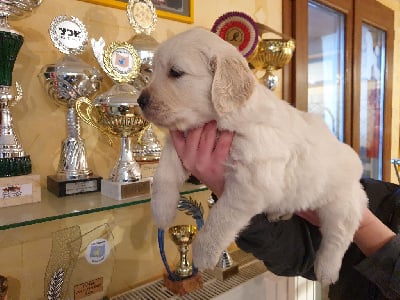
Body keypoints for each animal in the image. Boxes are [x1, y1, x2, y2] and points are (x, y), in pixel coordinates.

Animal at [138, 27, 368, 284]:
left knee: (339, 235)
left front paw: (204, 252)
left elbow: (220, 216)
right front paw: (161, 212)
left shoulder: (250, 182)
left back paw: (327, 270)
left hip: (340, 202)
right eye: (152, 70)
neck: (220, 118)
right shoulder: (179, 142)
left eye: (176, 72)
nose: (140, 101)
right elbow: (163, 175)